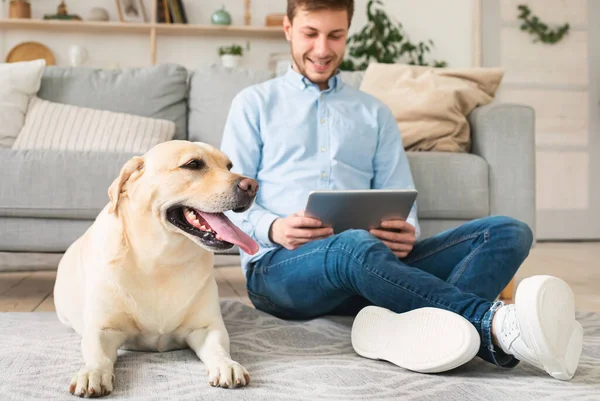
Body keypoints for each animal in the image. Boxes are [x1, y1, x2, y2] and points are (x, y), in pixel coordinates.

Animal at [55, 139, 260, 396]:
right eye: (193, 164)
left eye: (229, 166)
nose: (252, 185)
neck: (161, 260)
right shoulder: (103, 329)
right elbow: (98, 354)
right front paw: (93, 373)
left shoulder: (206, 328)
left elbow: (218, 348)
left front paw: (227, 365)